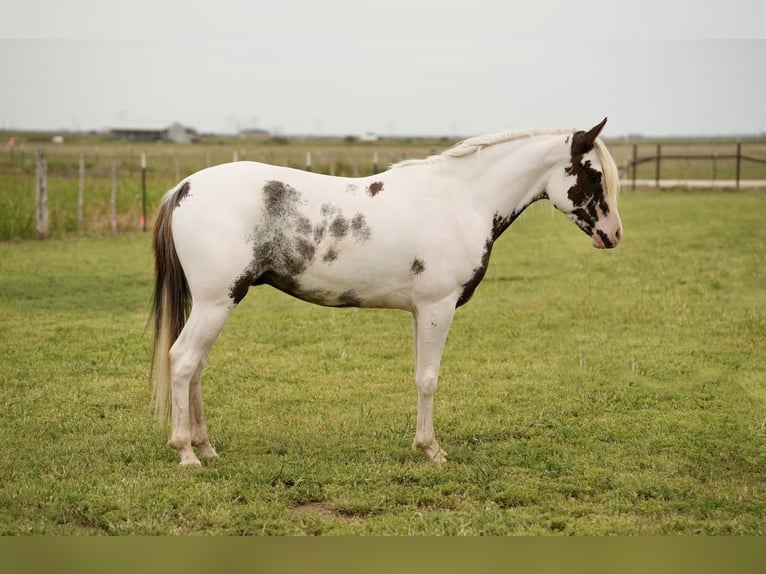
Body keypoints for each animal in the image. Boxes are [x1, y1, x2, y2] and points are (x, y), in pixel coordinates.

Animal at [150, 117, 624, 468]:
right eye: (593, 173)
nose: (613, 234)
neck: (461, 200)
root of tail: (184, 188)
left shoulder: (420, 310)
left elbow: (418, 376)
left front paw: (422, 445)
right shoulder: (438, 307)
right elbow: (429, 378)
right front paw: (432, 451)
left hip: (215, 305)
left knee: (197, 367)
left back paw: (207, 447)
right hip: (216, 302)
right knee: (183, 361)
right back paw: (187, 453)